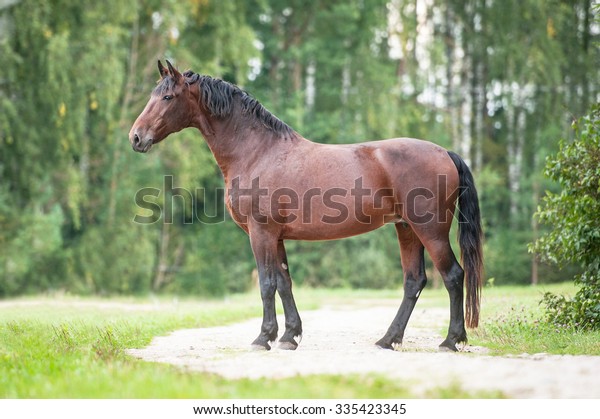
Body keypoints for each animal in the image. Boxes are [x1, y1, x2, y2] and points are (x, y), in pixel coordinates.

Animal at [127, 60, 482, 352]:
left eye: (167, 97)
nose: (136, 138)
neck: (258, 151)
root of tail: (445, 153)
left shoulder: (261, 232)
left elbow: (267, 283)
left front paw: (263, 338)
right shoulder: (277, 237)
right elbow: (284, 282)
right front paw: (288, 336)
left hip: (430, 230)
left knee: (453, 275)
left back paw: (450, 341)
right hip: (406, 229)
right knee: (414, 281)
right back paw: (388, 339)